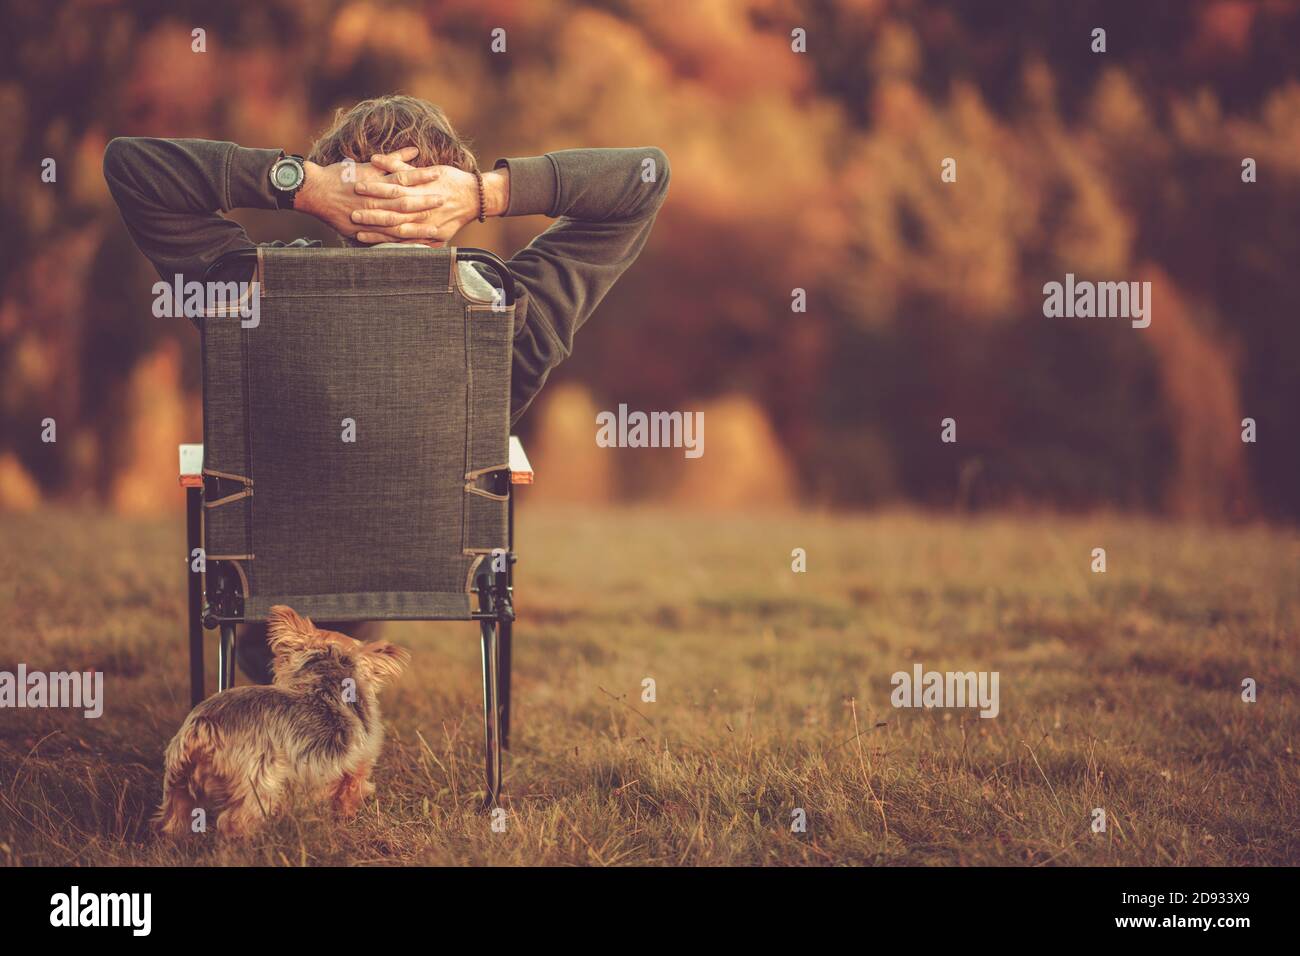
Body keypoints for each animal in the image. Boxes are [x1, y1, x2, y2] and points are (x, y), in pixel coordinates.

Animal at [159, 606, 408, 837]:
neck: (328, 678)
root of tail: (203, 728)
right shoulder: (356, 767)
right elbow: (347, 795)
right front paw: (346, 818)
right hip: (258, 785)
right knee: (236, 823)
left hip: (177, 785)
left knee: (175, 819)